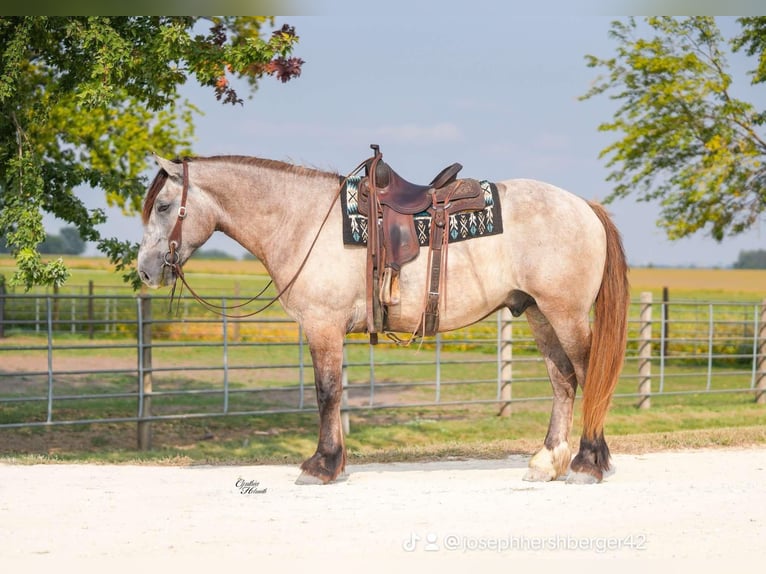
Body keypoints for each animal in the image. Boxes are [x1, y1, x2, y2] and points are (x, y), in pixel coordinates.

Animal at [137, 153, 629, 485]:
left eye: (162, 206)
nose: (146, 270)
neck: (303, 221)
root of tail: (584, 206)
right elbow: (335, 395)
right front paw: (334, 462)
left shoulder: (322, 325)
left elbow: (327, 393)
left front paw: (321, 465)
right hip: (538, 313)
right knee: (563, 380)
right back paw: (547, 462)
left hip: (565, 313)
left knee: (588, 374)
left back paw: (588, 463)